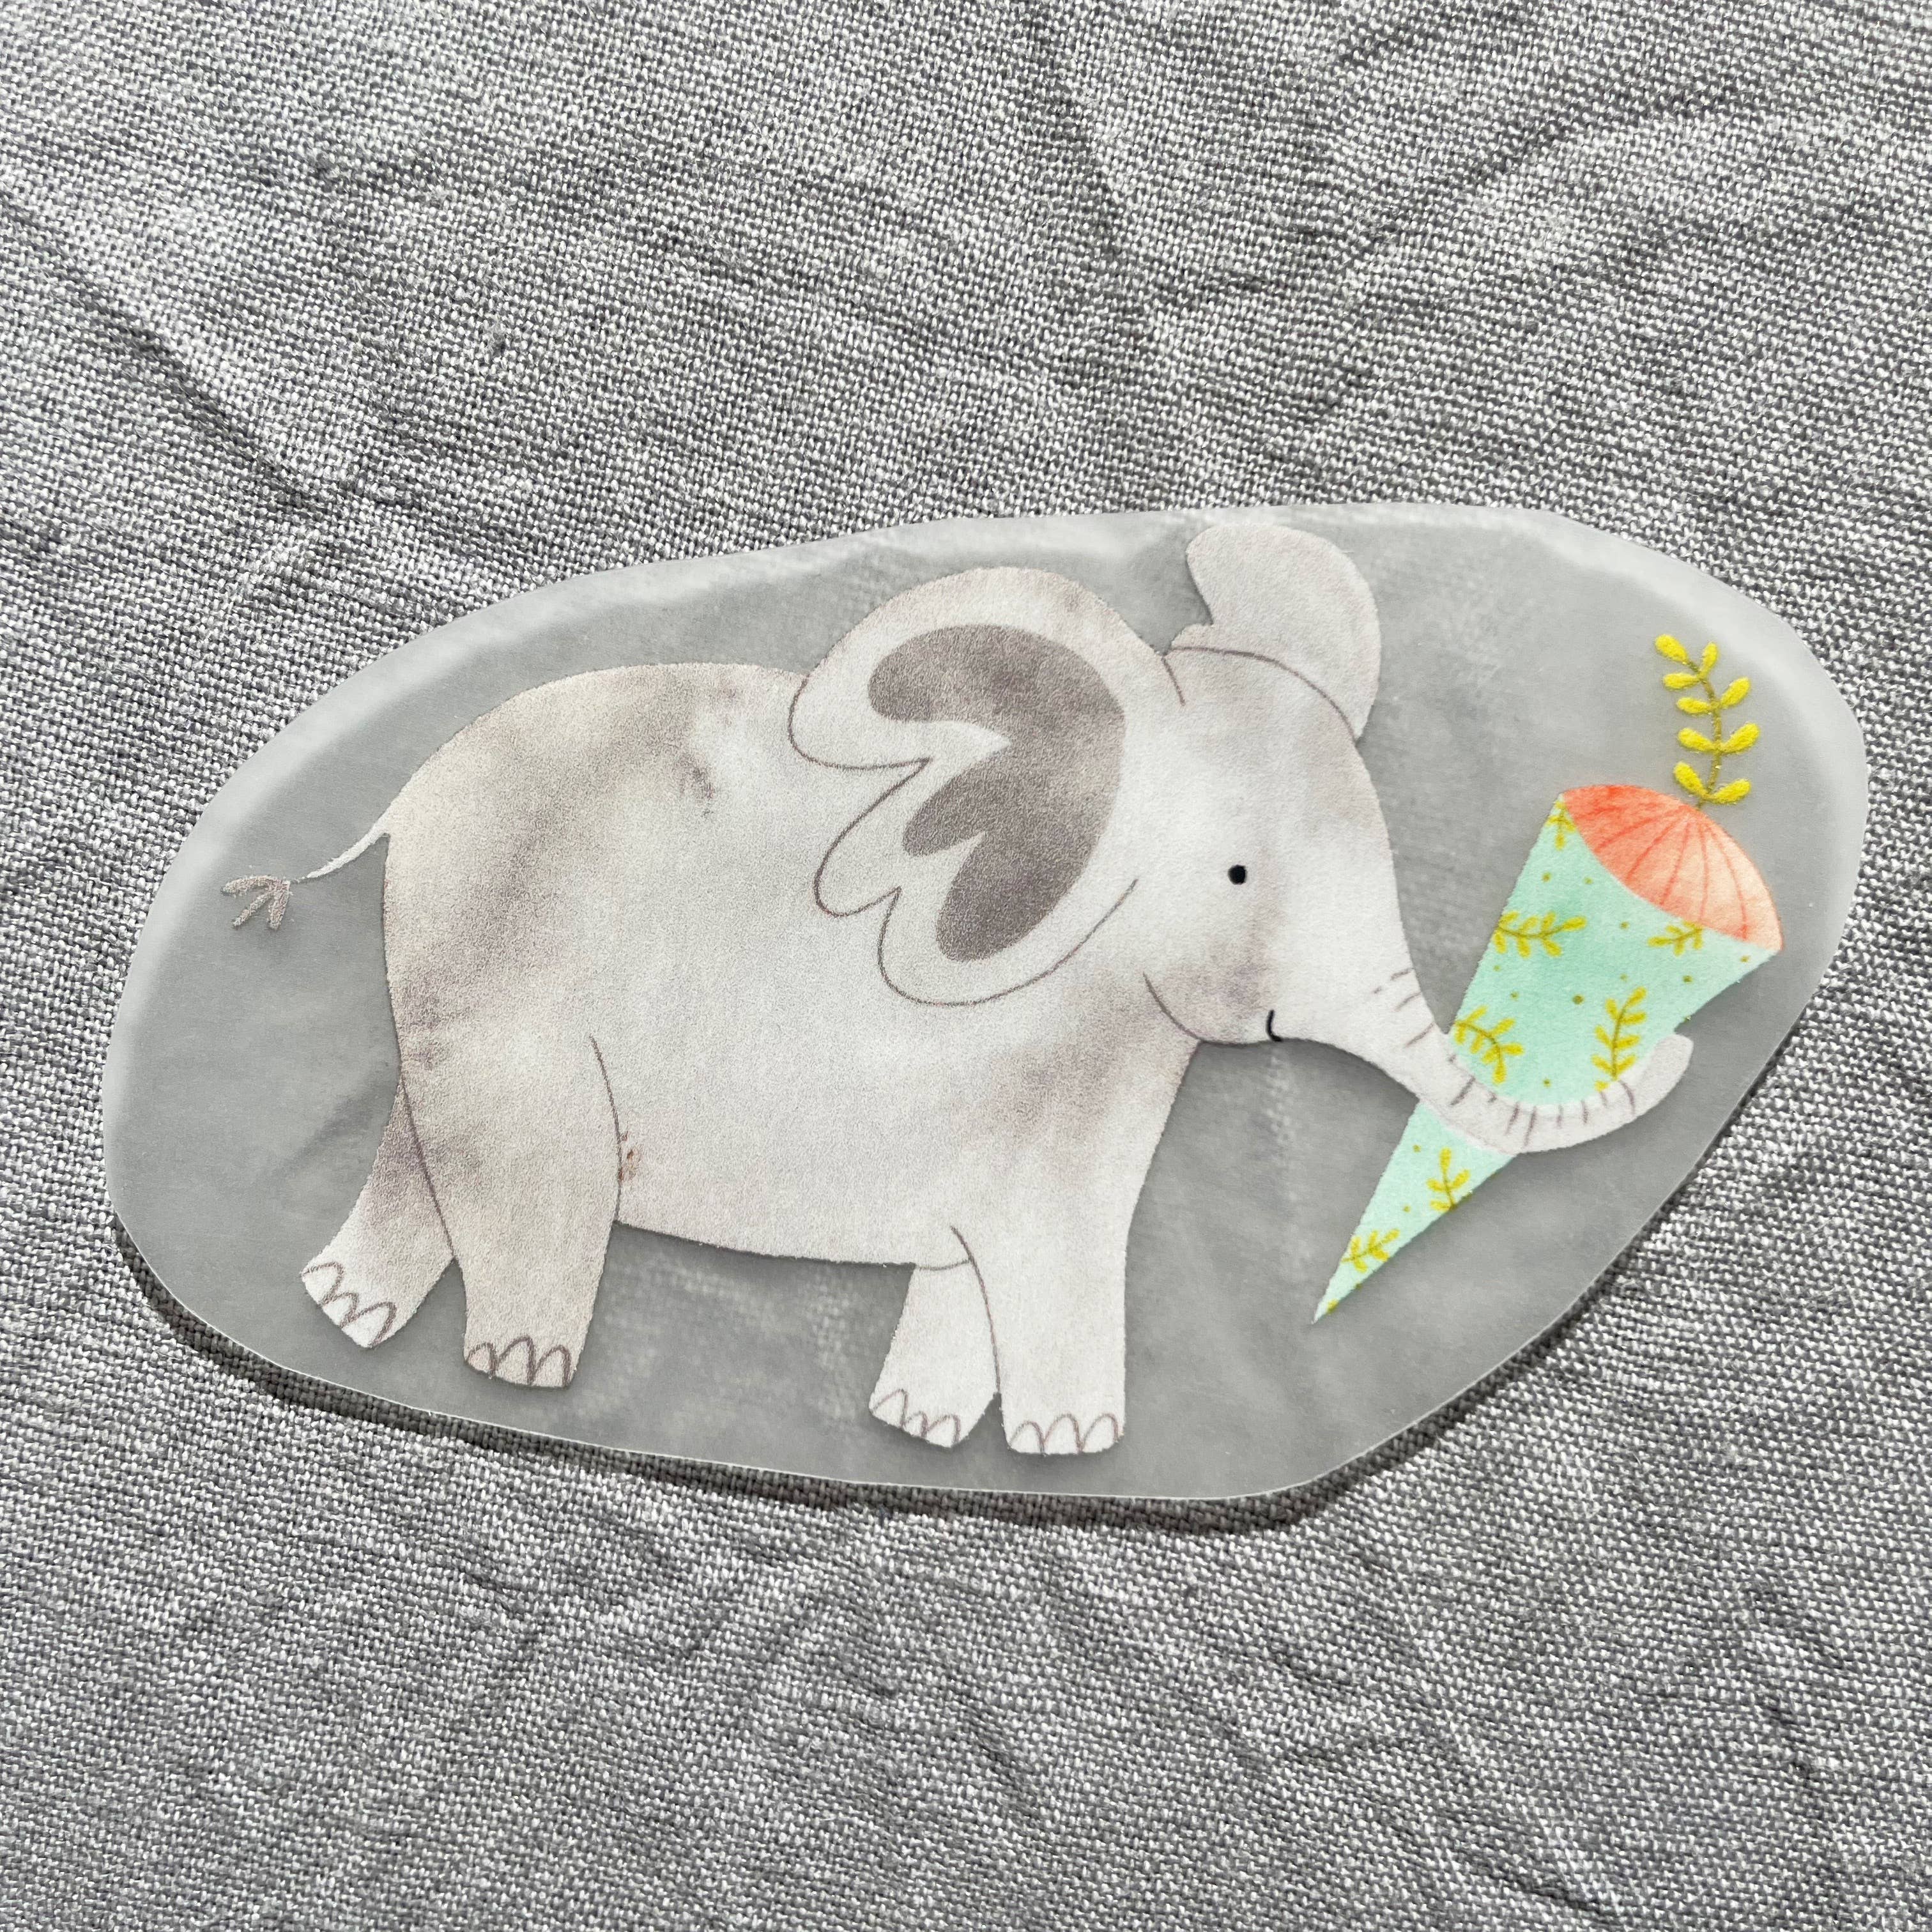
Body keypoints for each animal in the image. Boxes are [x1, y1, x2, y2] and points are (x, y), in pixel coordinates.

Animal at [230, 523, 1691, 1455]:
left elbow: (984, 1263)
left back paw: (345, 1313)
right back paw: (518, 1367)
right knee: (527, 1153)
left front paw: (926, 1430)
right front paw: (1073, 1445)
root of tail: (414, 786)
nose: (1677, 1041)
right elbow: (1051, 1251)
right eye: (1234, 874)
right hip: (498, 944)